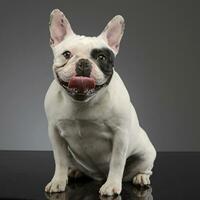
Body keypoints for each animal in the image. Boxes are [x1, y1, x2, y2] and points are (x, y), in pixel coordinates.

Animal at [44, 9, 156, 195]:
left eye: (102, 57)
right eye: (67, 54)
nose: (83, 63)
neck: (83, 102)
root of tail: (99, 175)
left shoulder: (120, 135)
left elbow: (117, 162)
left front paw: (112, 186)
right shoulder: (55, 132)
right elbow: (59, 160)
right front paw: (58, 181)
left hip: (146, 153)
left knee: (144, 168)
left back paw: (140, 177)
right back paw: (75, 171)